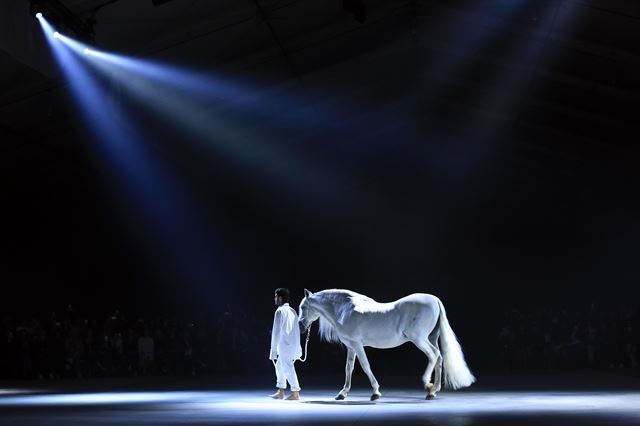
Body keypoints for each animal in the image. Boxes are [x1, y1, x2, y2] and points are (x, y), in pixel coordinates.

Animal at [300, 288, 476, 402]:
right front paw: (342, 394)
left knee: (434, 356)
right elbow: (349, 368)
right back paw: (433, 391)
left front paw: (375, 392)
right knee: (439, 358)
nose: (301, 327)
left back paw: (428, 384)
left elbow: (365, 366)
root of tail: (435, 300)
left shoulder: (357, 345)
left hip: (419, 339)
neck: (345, 310)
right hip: (431, 338)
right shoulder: (351, 347)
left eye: (303, 307)